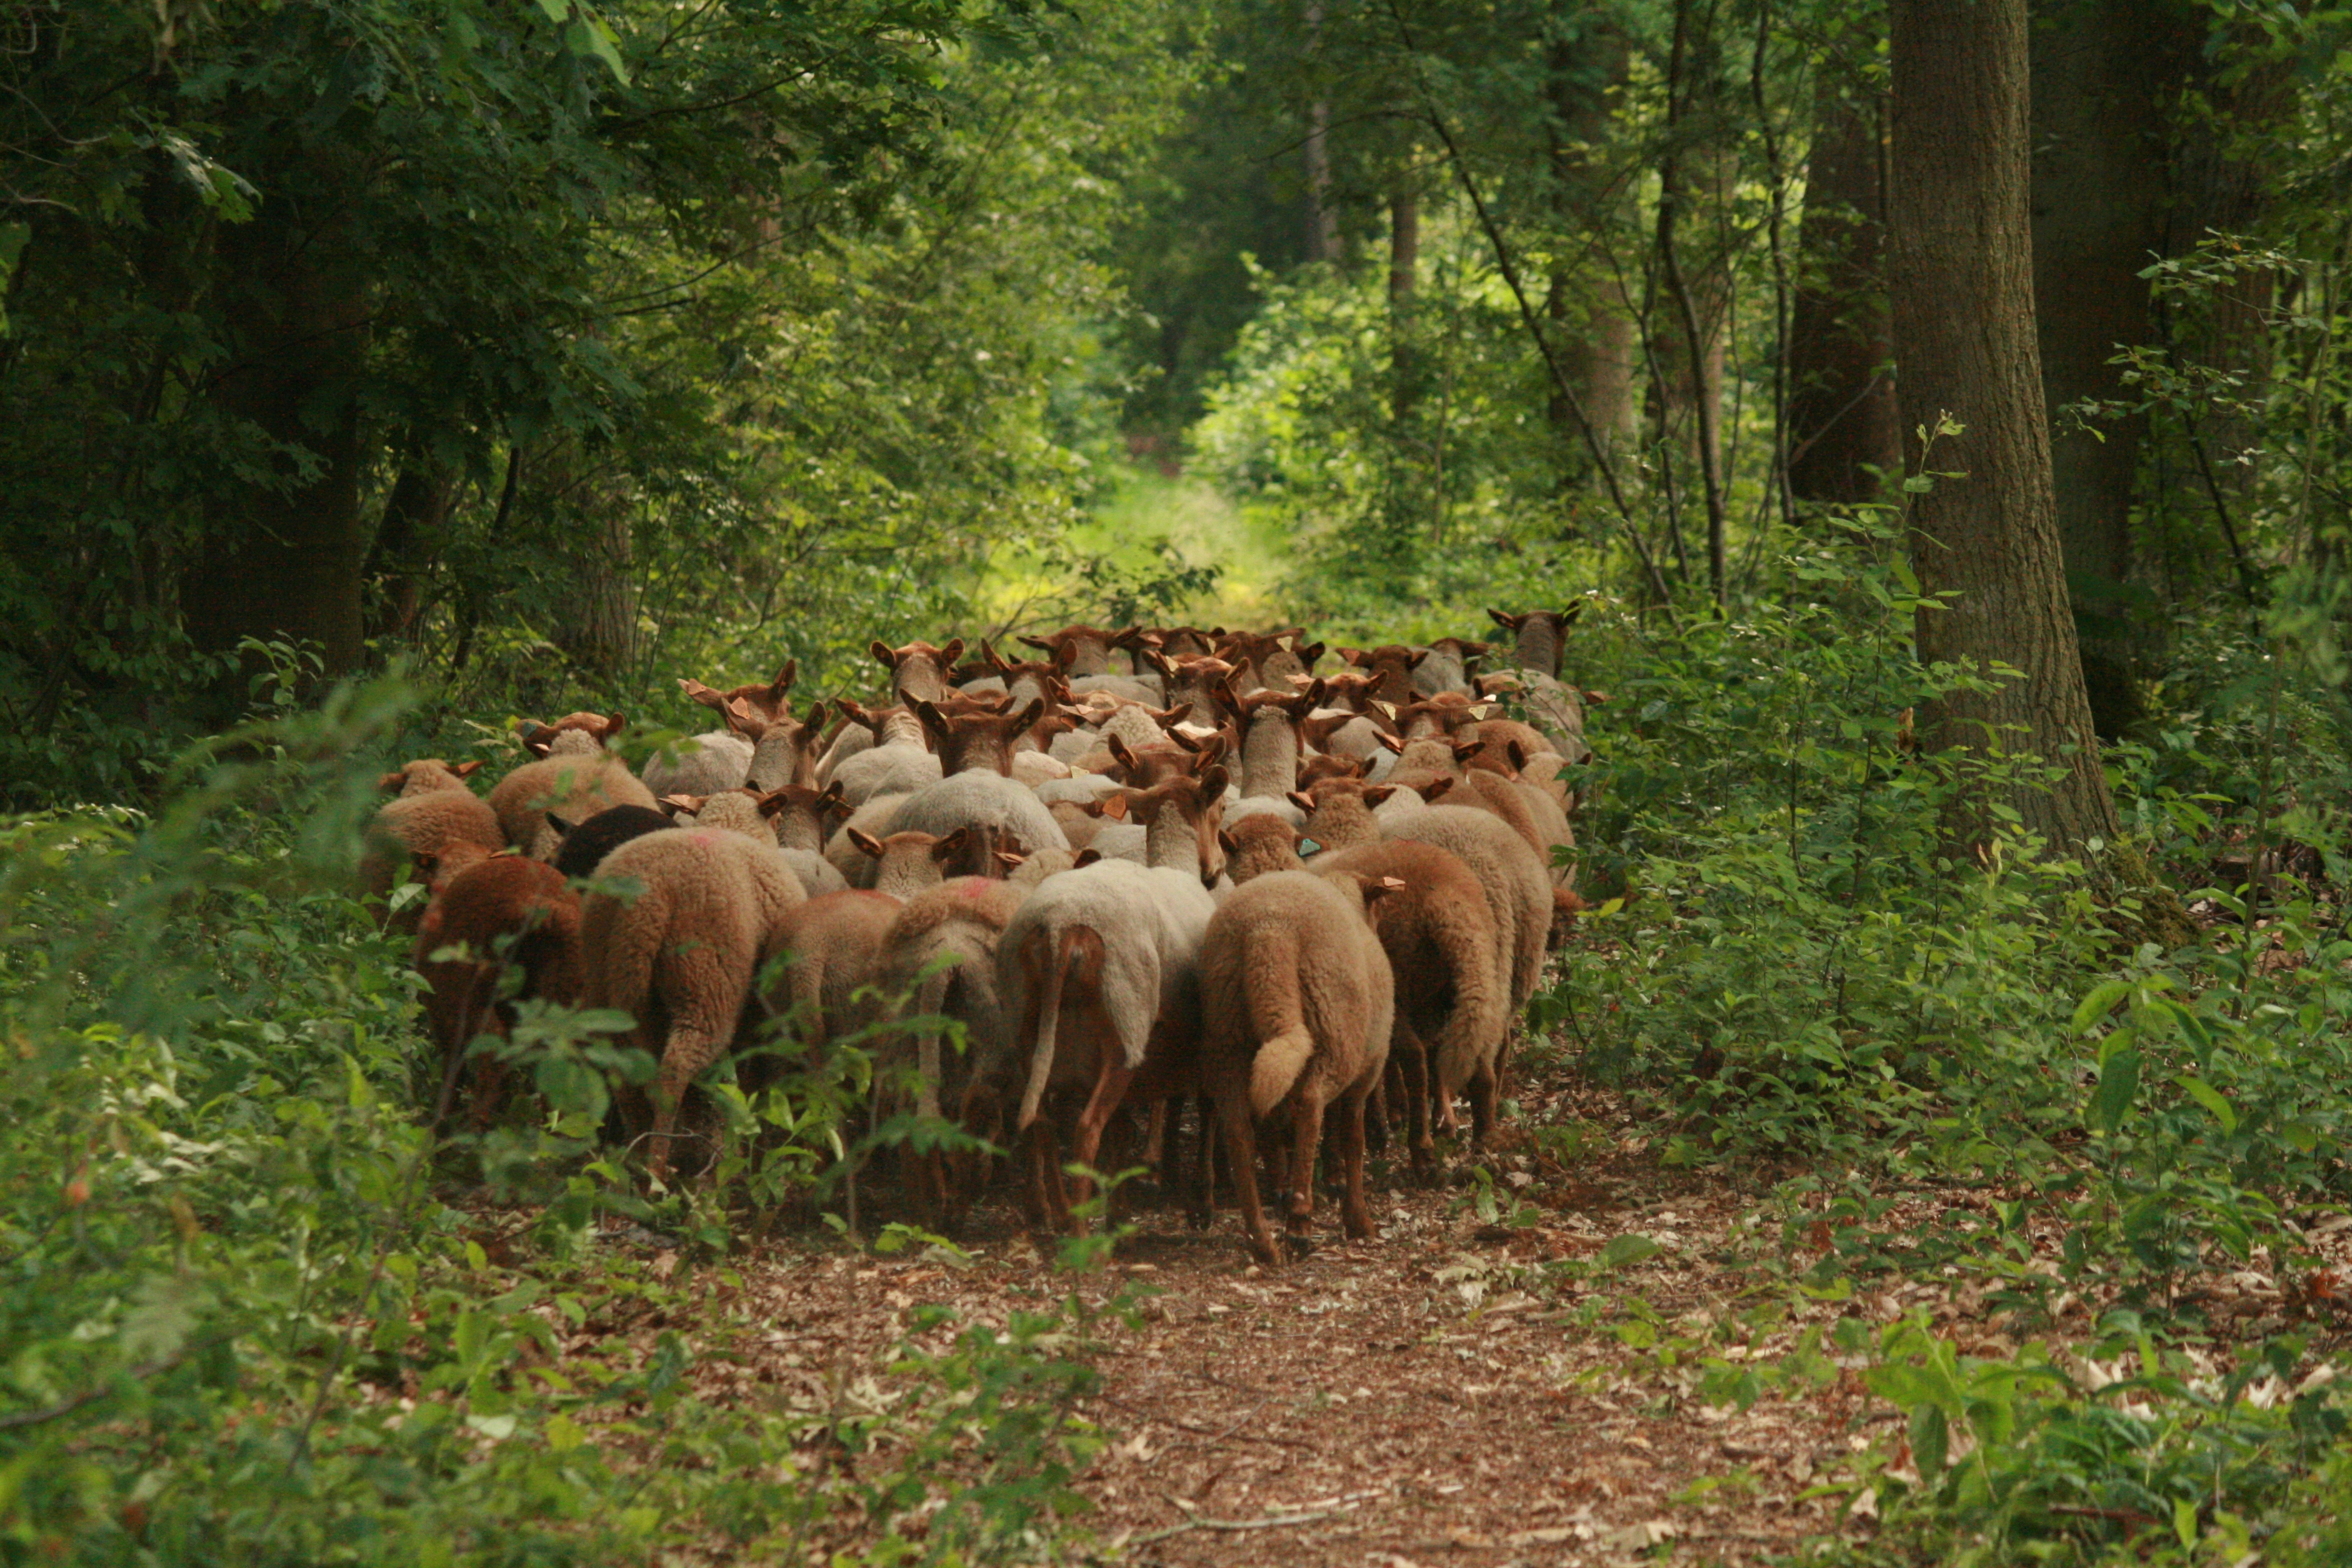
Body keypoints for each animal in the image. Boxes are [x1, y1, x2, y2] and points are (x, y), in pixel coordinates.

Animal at [414, 852, 584, 1127]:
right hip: (564, 1007)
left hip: (474, 1001)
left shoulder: (445, 1020)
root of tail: (545, 910)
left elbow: (452, 1078)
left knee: (492, 1068)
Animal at [579, 825, 807, 1180]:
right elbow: (752, 1084)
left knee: (627, 1073)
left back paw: (640, 1162)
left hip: (610, 988)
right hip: (706, 984)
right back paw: (658, 1169)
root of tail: (649, 893)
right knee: (676, 1067)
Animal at [1197, 869, 1397, 1265]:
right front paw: (1357, 1218)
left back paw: (1262, 1239)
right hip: (1333, 1031)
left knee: (1238, 1129)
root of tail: (1269, 931)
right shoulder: (1368, 1071)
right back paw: (1300, 1225)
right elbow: (1354, 1139)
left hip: (1227, 1035)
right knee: (1309, 1105)